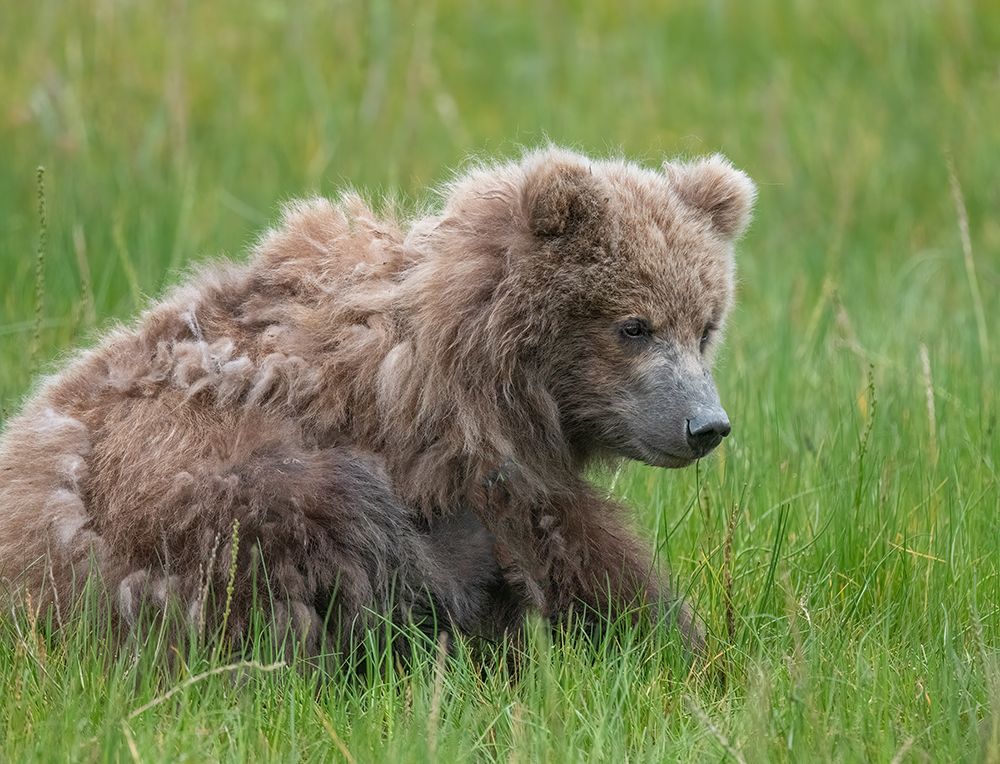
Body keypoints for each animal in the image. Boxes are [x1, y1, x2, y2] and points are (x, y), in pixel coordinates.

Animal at [0, 146, 755, 660]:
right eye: (634, 326)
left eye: (705, 324)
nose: (705, 425)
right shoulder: (464, 461)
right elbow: (577, 553)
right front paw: (674, 641)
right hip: (174, 519)